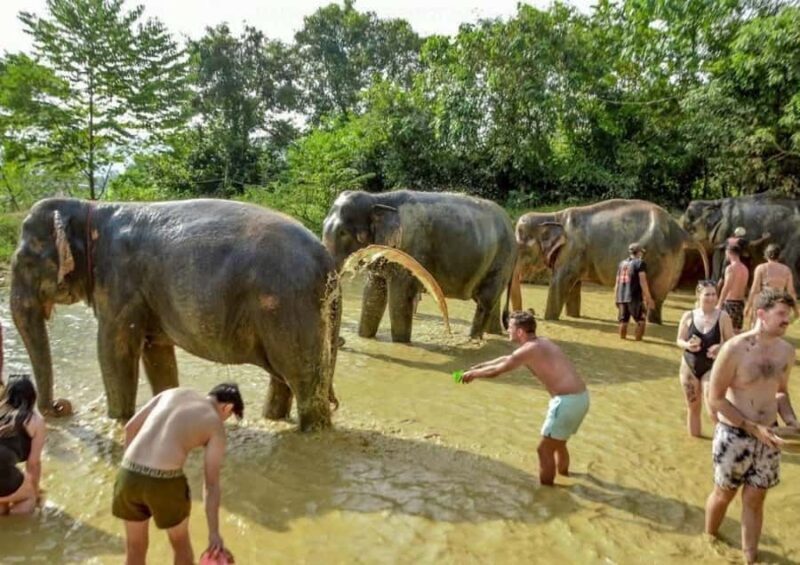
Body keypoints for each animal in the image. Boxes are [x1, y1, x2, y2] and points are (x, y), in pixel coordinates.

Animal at [10, 198, 341, 431]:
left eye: (25, 261)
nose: (62, 407)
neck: (89, 207)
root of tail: (327, 261)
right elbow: (157, 355)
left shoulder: (119, 283)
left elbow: (113, 351)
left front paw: (117, 422)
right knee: (284, 378)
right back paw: (274, 421)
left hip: (289, 305)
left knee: (303, 378)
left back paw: (312, 434)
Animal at [322, 190, 517, 342]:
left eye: (343, 233)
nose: (342, 340)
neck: (379, 198)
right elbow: (373, 293)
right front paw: (365, 338)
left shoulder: (410, 252)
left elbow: (400, 297)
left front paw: (401, 343)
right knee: (492, 302)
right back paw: (494, 334)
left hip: (502, 257)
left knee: (485, 300)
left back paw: (472, 339)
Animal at [515, 199, 709, 323]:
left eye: (521, 248)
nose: (530, 312)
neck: (553, 216)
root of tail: (682, 232)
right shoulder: (575, 253)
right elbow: (574, 285)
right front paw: (573, 316)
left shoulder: (572, 249)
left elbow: (559, 281)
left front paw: (549, 319)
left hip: (662, 260)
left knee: (655, 294)